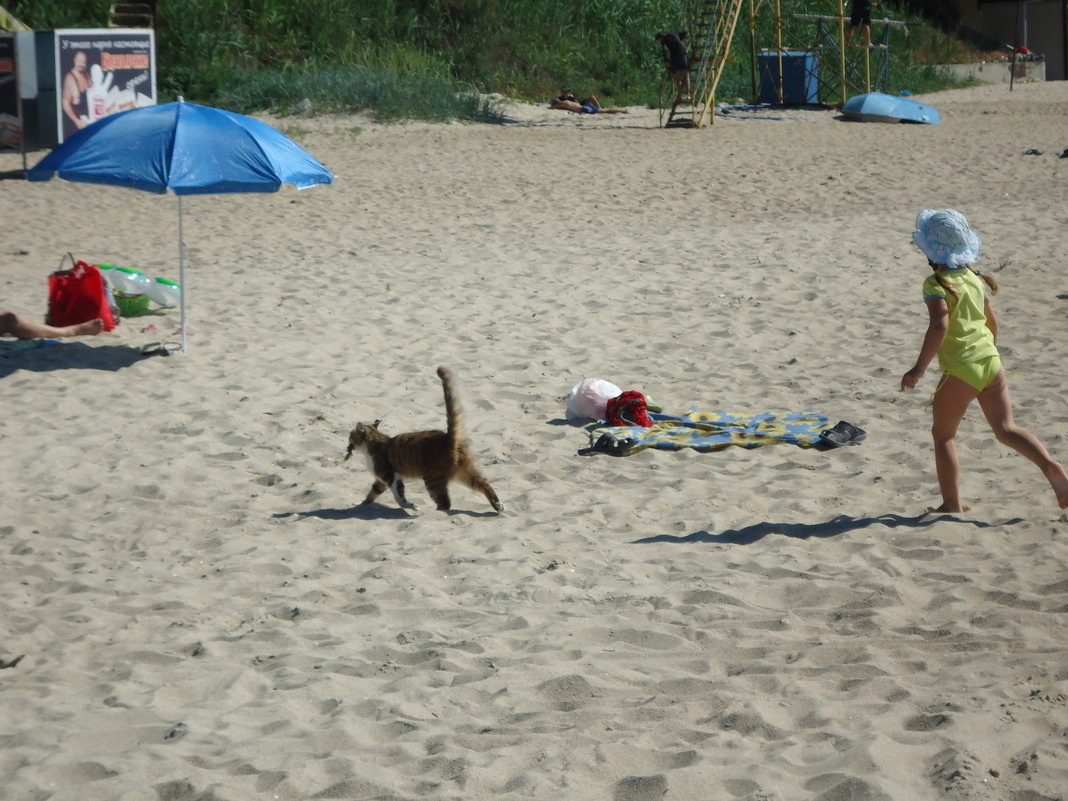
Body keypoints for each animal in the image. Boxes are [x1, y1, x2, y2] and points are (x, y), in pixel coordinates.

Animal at [346, 365, 504, 514]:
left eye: (350, 435)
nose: (348, 443)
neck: (374, 444)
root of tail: (448, 437)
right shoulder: (381, 482)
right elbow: (371, 494)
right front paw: (361, 505)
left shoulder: (390, 477)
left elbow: (400, 497)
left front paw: (410, 506)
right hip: (464, 473)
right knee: (484, 484)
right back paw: (498, 505)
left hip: (432, 479)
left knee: (445, 503)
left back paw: (433, 513)